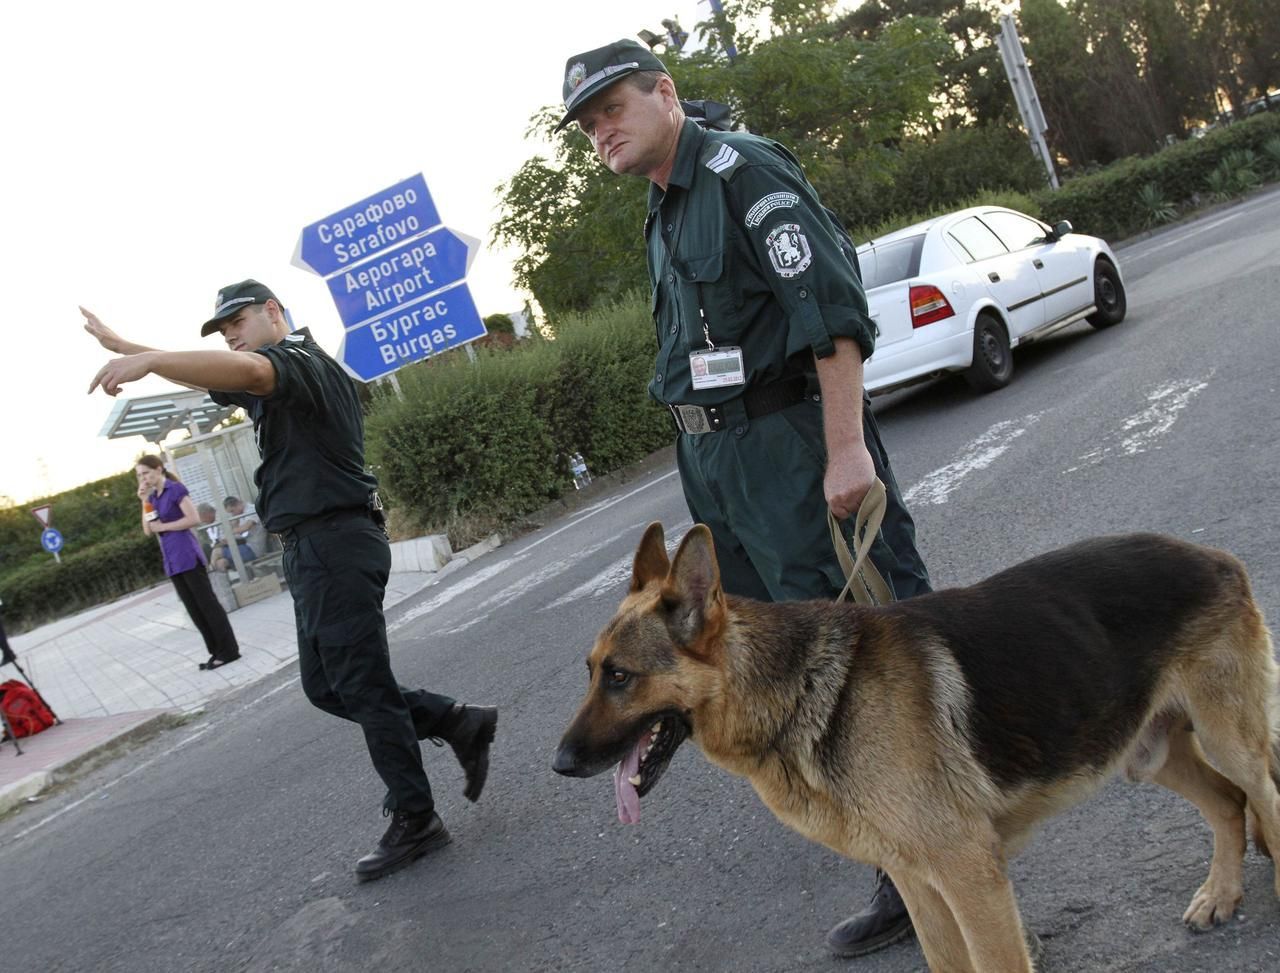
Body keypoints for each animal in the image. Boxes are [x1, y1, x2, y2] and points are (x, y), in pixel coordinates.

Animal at [552, 524, 1280, 973]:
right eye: (589, 670)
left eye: (619, 676)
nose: (558, 764)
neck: (799, 693)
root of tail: (1214, 556)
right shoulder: (918, 881)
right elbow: (946, 961)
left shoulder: (969, 875)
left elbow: (998, 962)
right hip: (1147, 753)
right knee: (1228, 802)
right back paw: (1221, 892)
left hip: (1226, 739)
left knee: (1262, 794)